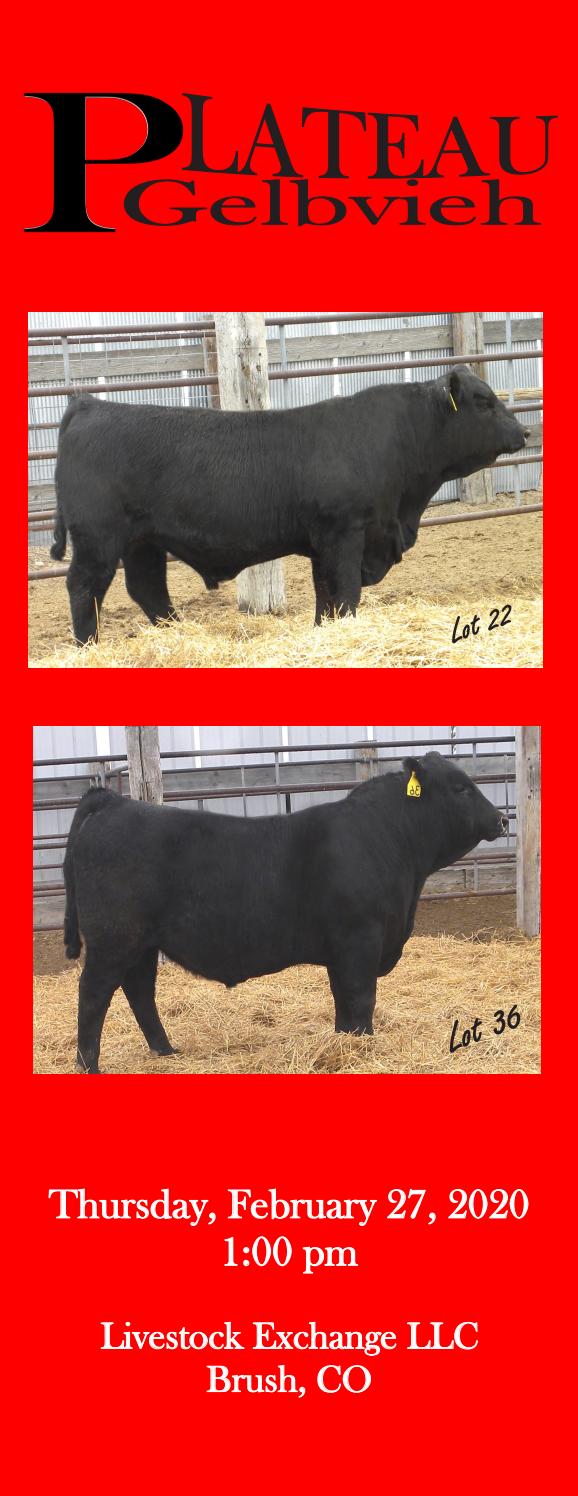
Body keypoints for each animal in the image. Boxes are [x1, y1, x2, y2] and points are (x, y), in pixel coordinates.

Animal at [51, 367, 529, 643]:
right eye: (484, 401)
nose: (524, 432)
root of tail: (89, 405)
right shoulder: (345, 533)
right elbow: (346, 592)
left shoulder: (323, 543)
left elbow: (326, 597)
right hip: (98, 538)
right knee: (84, 587)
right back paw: (88, 646)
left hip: (143, 541)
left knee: (147, 588)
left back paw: (177, 633)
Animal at [62, 752, 508, 1073]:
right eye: (461, 788)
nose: (501, 819)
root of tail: (113, 802)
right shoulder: (360, 939)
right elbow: (362, 997)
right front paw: (362, 1047)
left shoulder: (341, 951)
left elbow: (343, 1001)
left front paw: (343, 1042)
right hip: (113, 940)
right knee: (93, 994)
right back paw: (89, 1066)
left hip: (142, 944)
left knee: (140, 991)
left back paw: (167, 1052)